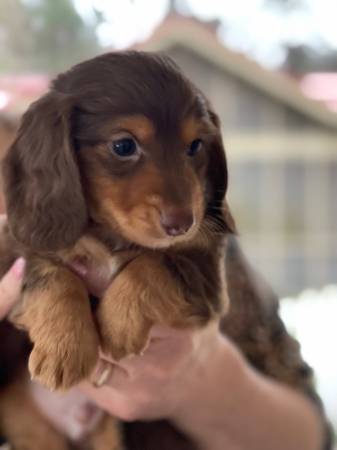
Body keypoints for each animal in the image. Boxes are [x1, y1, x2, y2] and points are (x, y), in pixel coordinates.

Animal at [0, 50, 330, 450]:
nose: (183, 223)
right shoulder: (26, 248)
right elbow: (52, 275)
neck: (110, 235)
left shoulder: (205, 274)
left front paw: (117, 325)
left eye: (195, 146)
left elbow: (155, 266)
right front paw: (65, 349)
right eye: (123, 146)